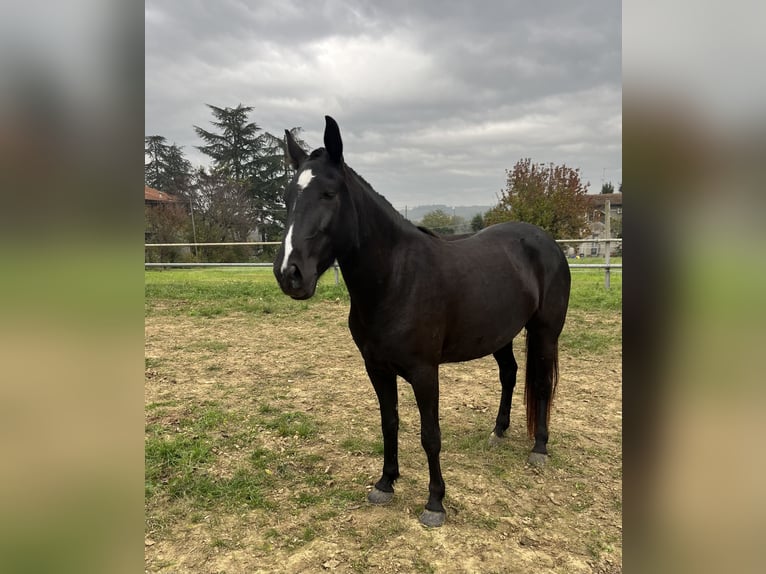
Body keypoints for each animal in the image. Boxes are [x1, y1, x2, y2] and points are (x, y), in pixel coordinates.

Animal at [274, 116, 568, 528]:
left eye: (329, 194)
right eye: (287, 197)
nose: (290, 274)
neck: (396, 279)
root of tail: (547, 242)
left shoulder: (425, 372)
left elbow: (431, 434)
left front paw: (435, 503)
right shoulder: (377, 368)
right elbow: (390, 422)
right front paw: (385, 483)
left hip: (545, 332)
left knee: (541, 383)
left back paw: (539, 448)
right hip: (500, 335)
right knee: (509, 374)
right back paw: (498, 431)